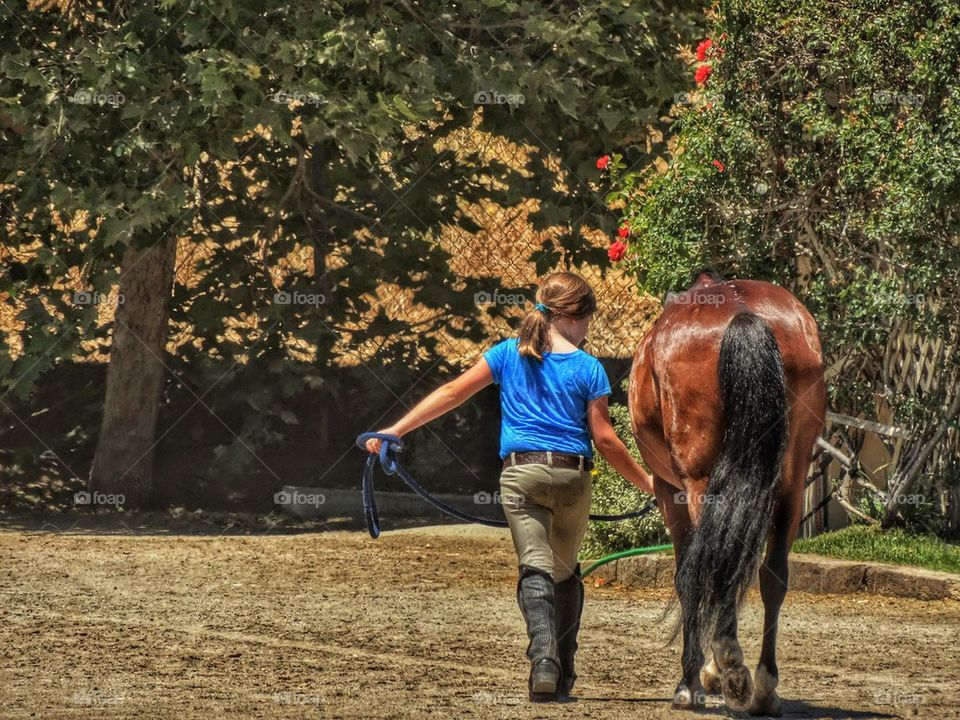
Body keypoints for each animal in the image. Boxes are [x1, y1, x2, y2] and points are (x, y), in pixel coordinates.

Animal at [632, 270, 824, 716]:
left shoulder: (670, 491)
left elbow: (687, 576)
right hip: (791, 480)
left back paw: (730, 669)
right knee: (772, 575)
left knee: (712, 570)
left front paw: (695, 680)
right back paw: (764, 688)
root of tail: (741, 310)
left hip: (701, 484)